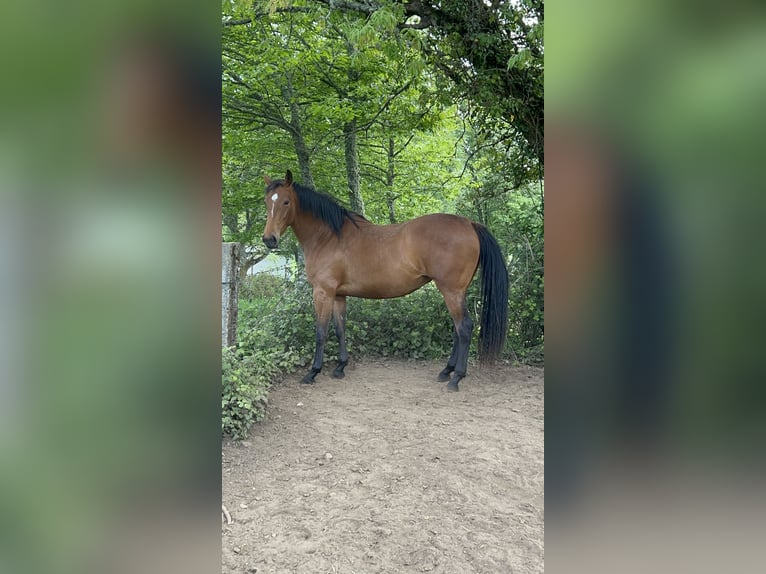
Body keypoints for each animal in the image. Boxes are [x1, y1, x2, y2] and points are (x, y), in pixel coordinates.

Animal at [264, 170, 510, 392]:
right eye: (267, 202)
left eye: (286, 202)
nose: (269, 239)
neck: (328, 236)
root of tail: (469, 224)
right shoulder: (339, 295)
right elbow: (340, 328)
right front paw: (341, 367)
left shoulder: (322, 292)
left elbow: (321, 332)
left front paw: (313, 372)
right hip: (456, 292)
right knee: (458, 330)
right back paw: (446, 371)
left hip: (451, 291)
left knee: (465, 328)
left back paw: (456, 378)